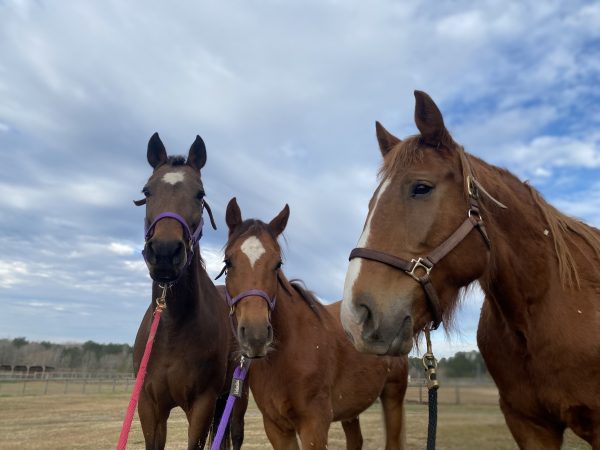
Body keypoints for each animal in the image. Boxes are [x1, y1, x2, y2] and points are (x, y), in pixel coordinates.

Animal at [132, 134, 245, 450]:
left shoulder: (202, 404)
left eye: (199, 193)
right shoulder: (149, 406)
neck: (173, 328)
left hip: (236, 397)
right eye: (147, 191)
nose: (165, 252)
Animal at [223, 199, 410, 450]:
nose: (256, 336)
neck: (286, 356)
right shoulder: (276, 427)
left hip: (393, 395)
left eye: (277, 264)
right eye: (228, 262)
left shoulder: (314, 425)